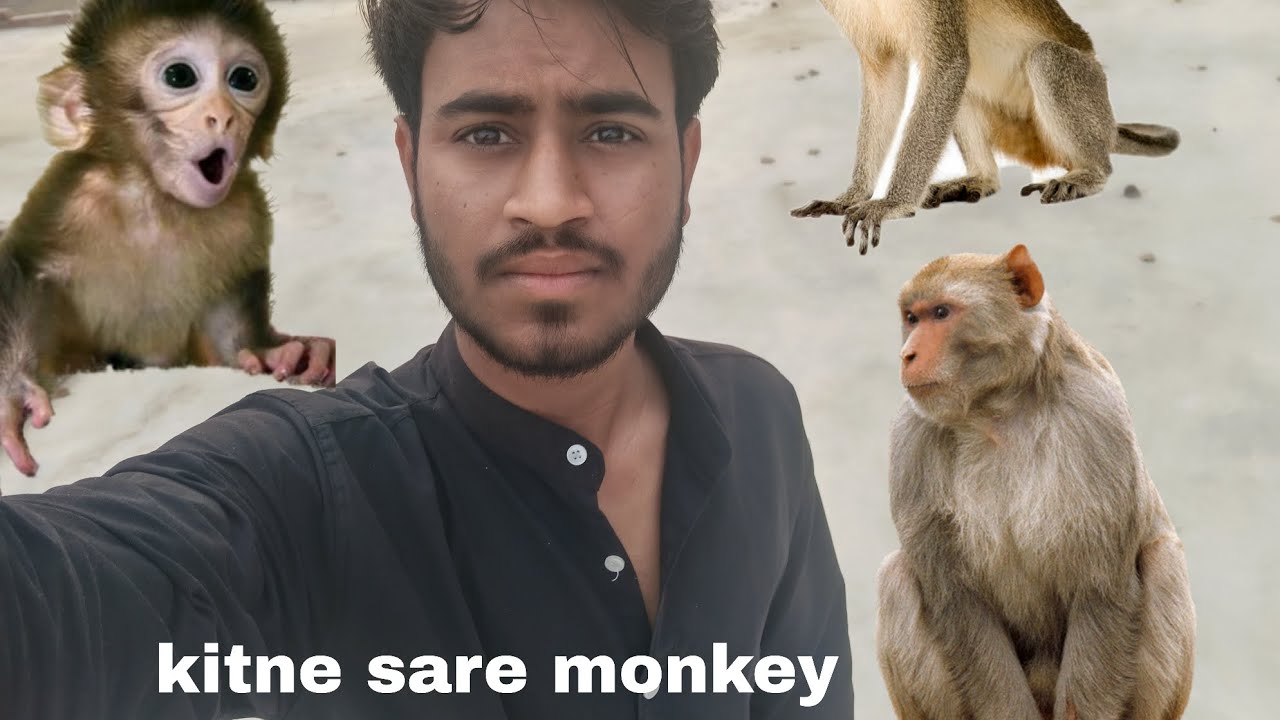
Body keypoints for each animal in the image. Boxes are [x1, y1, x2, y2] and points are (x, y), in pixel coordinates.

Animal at [0, 0, 335, 485]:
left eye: (243, 79)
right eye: (179, 76)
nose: (224, 116)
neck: (159, 202)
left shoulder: (244, 214)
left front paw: (270, 354)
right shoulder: (70, 200)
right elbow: (27, 273)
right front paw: (15, 390)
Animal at [790, 0, 1181, 254]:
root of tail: (1109, 126)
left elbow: (947, 66)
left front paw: (891, 203)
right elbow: (885, 72)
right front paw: (853, 195)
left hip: (1090, 92)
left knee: (1046, 59)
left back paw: (1091, 173)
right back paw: (982, 178)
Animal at [874, 244, 1195, 720]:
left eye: (941, 312)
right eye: (912, 318)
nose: (907, 355)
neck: (997, 411)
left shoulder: (1098, 418)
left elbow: (1101, 589)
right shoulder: (911, 439)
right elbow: (958, 603)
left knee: (1162, 560)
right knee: (896, 576)